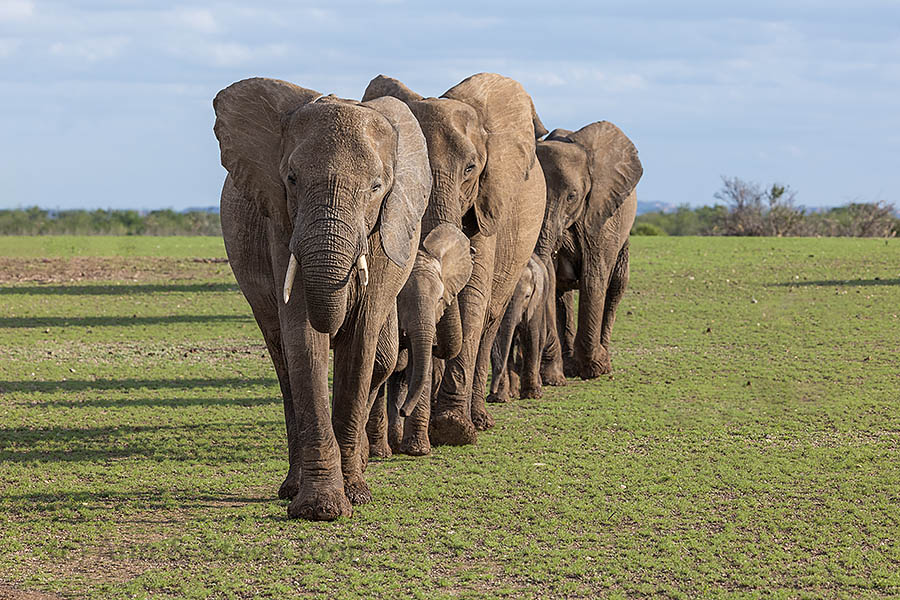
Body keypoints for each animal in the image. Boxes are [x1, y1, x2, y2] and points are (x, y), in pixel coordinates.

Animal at [213, 78, 431, 520]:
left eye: (377, 187)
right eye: (292, 178)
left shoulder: (384, 231)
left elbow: (360, 341)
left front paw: (356, 494)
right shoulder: (280, 223)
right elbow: (303, 338)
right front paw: (320, 508)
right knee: (282, 360)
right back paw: (291, 487)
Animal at [362, 73, 547, 446]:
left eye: (471, 168)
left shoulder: (488, 203)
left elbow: (473, 297)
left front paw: (453, 429)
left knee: (489, 322)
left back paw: (479, 419)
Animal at [533, 123, 643, 383]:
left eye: (572, 196)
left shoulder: (603, 215)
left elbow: (593, 278)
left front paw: (594, 368)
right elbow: (555, 281)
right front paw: (554, 376)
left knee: (617, 285)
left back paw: (604, 360)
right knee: (562, 292)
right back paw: (569, 366)